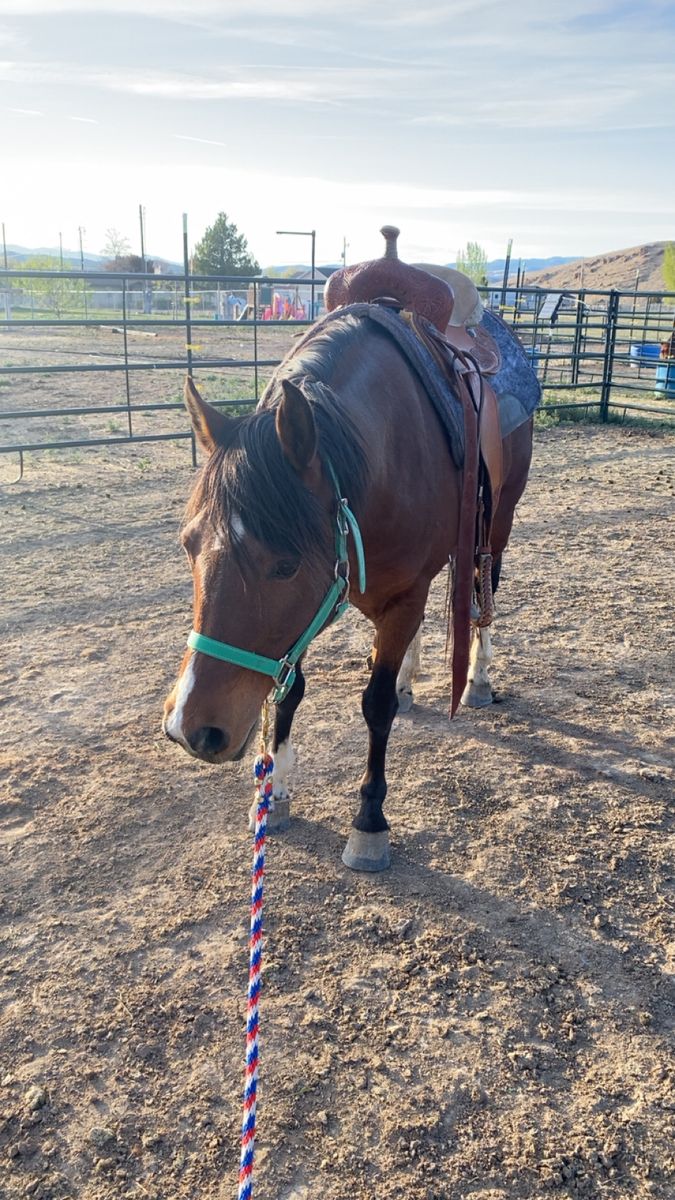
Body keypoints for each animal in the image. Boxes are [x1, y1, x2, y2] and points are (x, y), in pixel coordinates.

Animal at [163, 286, 535, 872]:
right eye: (188, 545)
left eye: (285, 564)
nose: (191, 728)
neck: (381, 456)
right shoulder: (318, 606)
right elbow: (289, 694)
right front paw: (275, 793)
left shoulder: (401, 593)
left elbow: (376, 706)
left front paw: (369, 822)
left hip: (497, 522)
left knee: (484, 597)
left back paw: (477, 677)